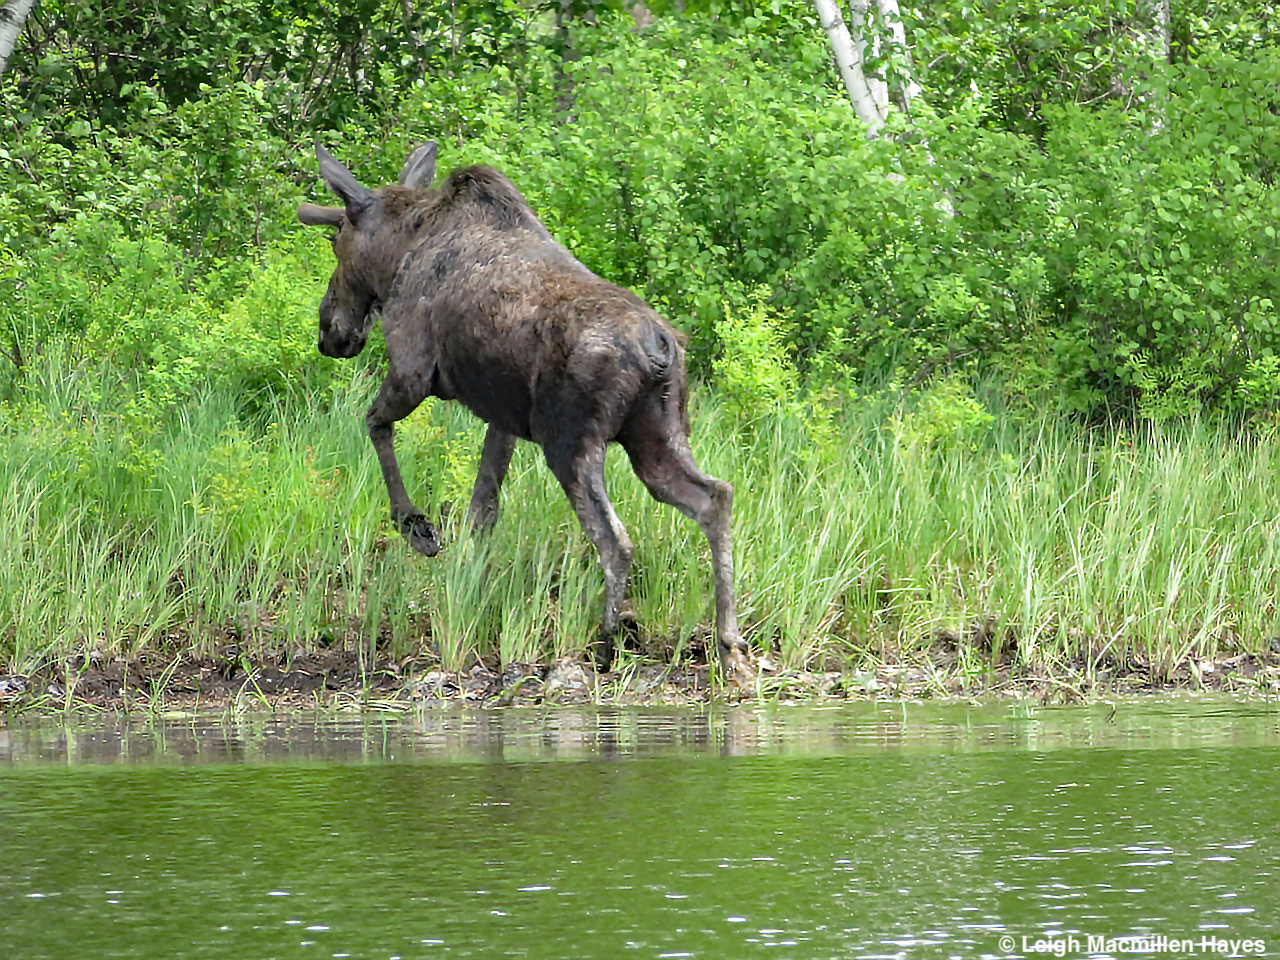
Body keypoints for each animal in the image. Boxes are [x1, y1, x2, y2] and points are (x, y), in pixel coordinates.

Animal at [300, 142, 752, 686]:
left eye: (335, 242)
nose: (329, 330)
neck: (398, 254)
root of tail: (659, 350)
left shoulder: (412, 370)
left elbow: (375, 424)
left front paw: (418, 527)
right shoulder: (504, 419)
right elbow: (482, 511)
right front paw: (466, 586)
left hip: (571, 443)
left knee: (616, 540)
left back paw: (606, 644)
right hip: (656, 440)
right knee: (715, 498)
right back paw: (728, 644)